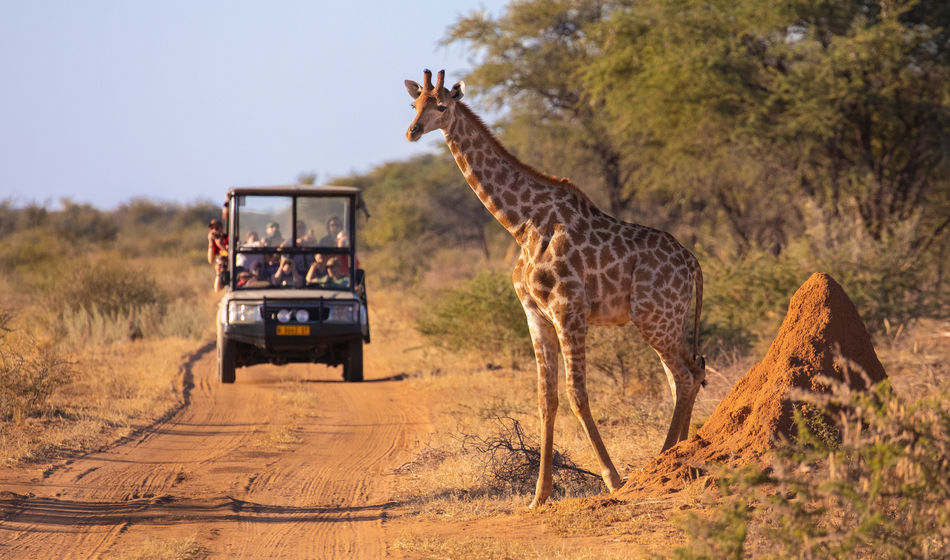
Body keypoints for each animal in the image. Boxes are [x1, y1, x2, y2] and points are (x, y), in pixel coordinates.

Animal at [405, 69, 706, 508]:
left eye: (441, 106)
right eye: (414, 105)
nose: (411, 131)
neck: (521, 224)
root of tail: (694, 264)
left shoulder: (569, 309)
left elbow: (577, 394)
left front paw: (613, 479)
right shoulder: (535, 315)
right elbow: (546, 399)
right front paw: (539, 495)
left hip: (653, 318)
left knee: (684, 376)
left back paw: (663, 460)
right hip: (670, 319)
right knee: (689, 373)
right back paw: (680, 453)